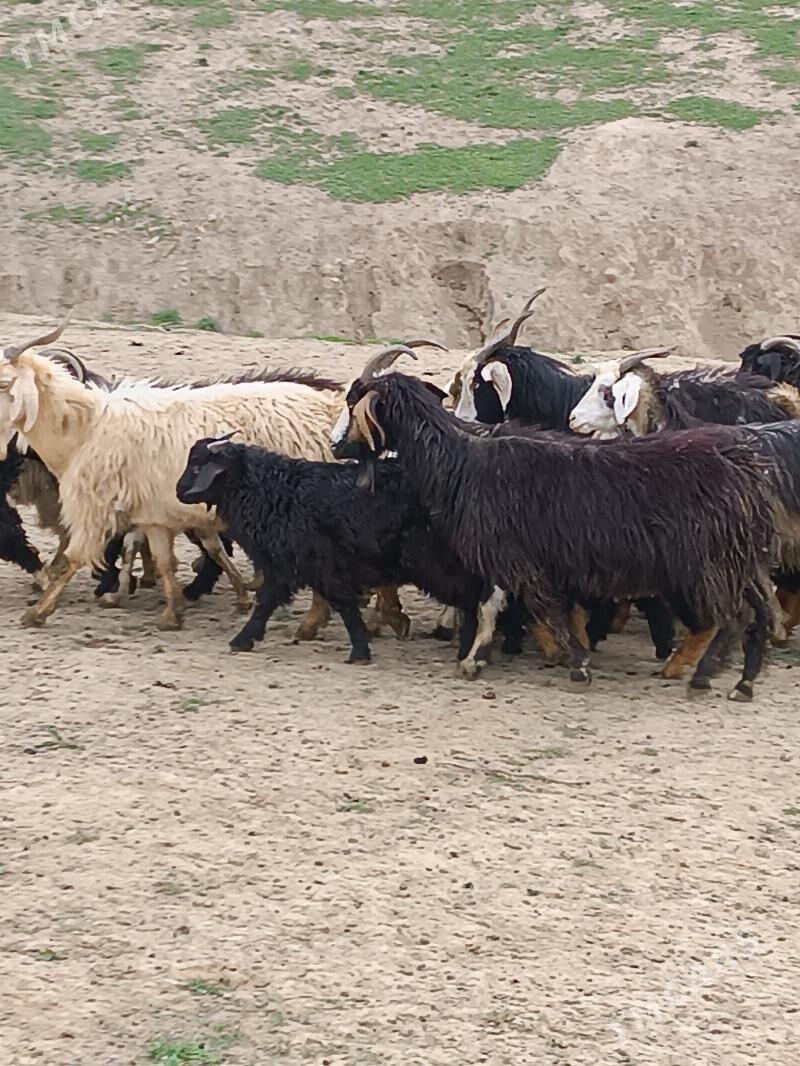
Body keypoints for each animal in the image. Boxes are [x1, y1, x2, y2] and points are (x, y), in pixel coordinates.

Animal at [339, 372, 776, 700]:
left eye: (355, 403)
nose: (338, 446)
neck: (460, 461)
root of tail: (743, 467)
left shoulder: (517, 557)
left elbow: (544, 609)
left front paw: (579, 666)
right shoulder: (505, 553)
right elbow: (491, 605)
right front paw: (474, 660)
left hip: (709, 564)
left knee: (736, 616)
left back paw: (703, 676)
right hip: (740, 560)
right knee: (762, 611)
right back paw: (745, 682)